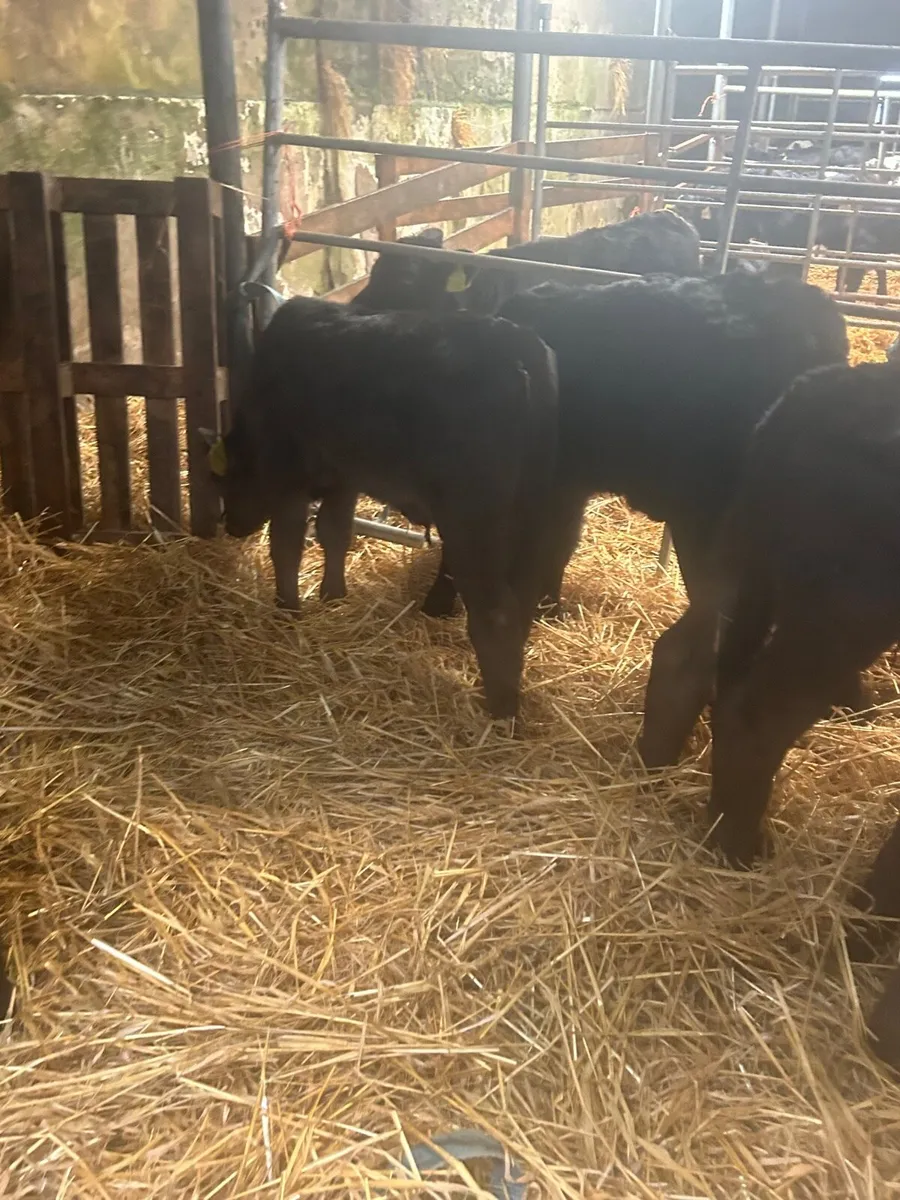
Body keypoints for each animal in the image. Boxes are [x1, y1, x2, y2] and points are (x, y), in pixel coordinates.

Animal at [204, 296, 558, 719]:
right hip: (536, 515)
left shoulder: (290, 478)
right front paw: (333, 595)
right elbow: (335, 532)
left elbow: (286, 545)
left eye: (224, 480)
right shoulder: (344, 478)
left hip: (473, 523)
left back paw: (500, 709)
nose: (229, 524)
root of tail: (517, 346)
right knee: (522, 604)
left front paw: (287, 608)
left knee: (497, 612)